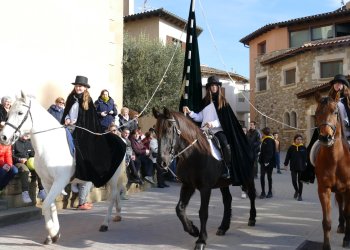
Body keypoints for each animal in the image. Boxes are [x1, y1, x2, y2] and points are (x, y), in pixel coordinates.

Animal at [0, 92, 126, 244]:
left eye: (20, 112)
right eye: (8, 113)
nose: (4, 137)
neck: (49, 145)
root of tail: (121, 139)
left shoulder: (60, 181)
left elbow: (46, 205)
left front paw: (53, 233)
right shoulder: (47, 182)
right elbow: (51, 205)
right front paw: (53, 235)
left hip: (113, 177)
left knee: (112, 197)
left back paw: (105, 224)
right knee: (116, 195)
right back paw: (117, 215)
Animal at [152, 107, 256, 250]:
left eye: (168, 130)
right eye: (156, 131)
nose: (161, 162)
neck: (193, 154)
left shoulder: (205, 188)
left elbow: (203, 212)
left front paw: (201, 240)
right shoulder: (187, 185)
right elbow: (179, 209)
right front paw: (193, 230)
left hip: (248, 177)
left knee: (251, 195)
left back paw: (252, 218)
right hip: (223, 183)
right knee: (227, 200)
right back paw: (223, 227)